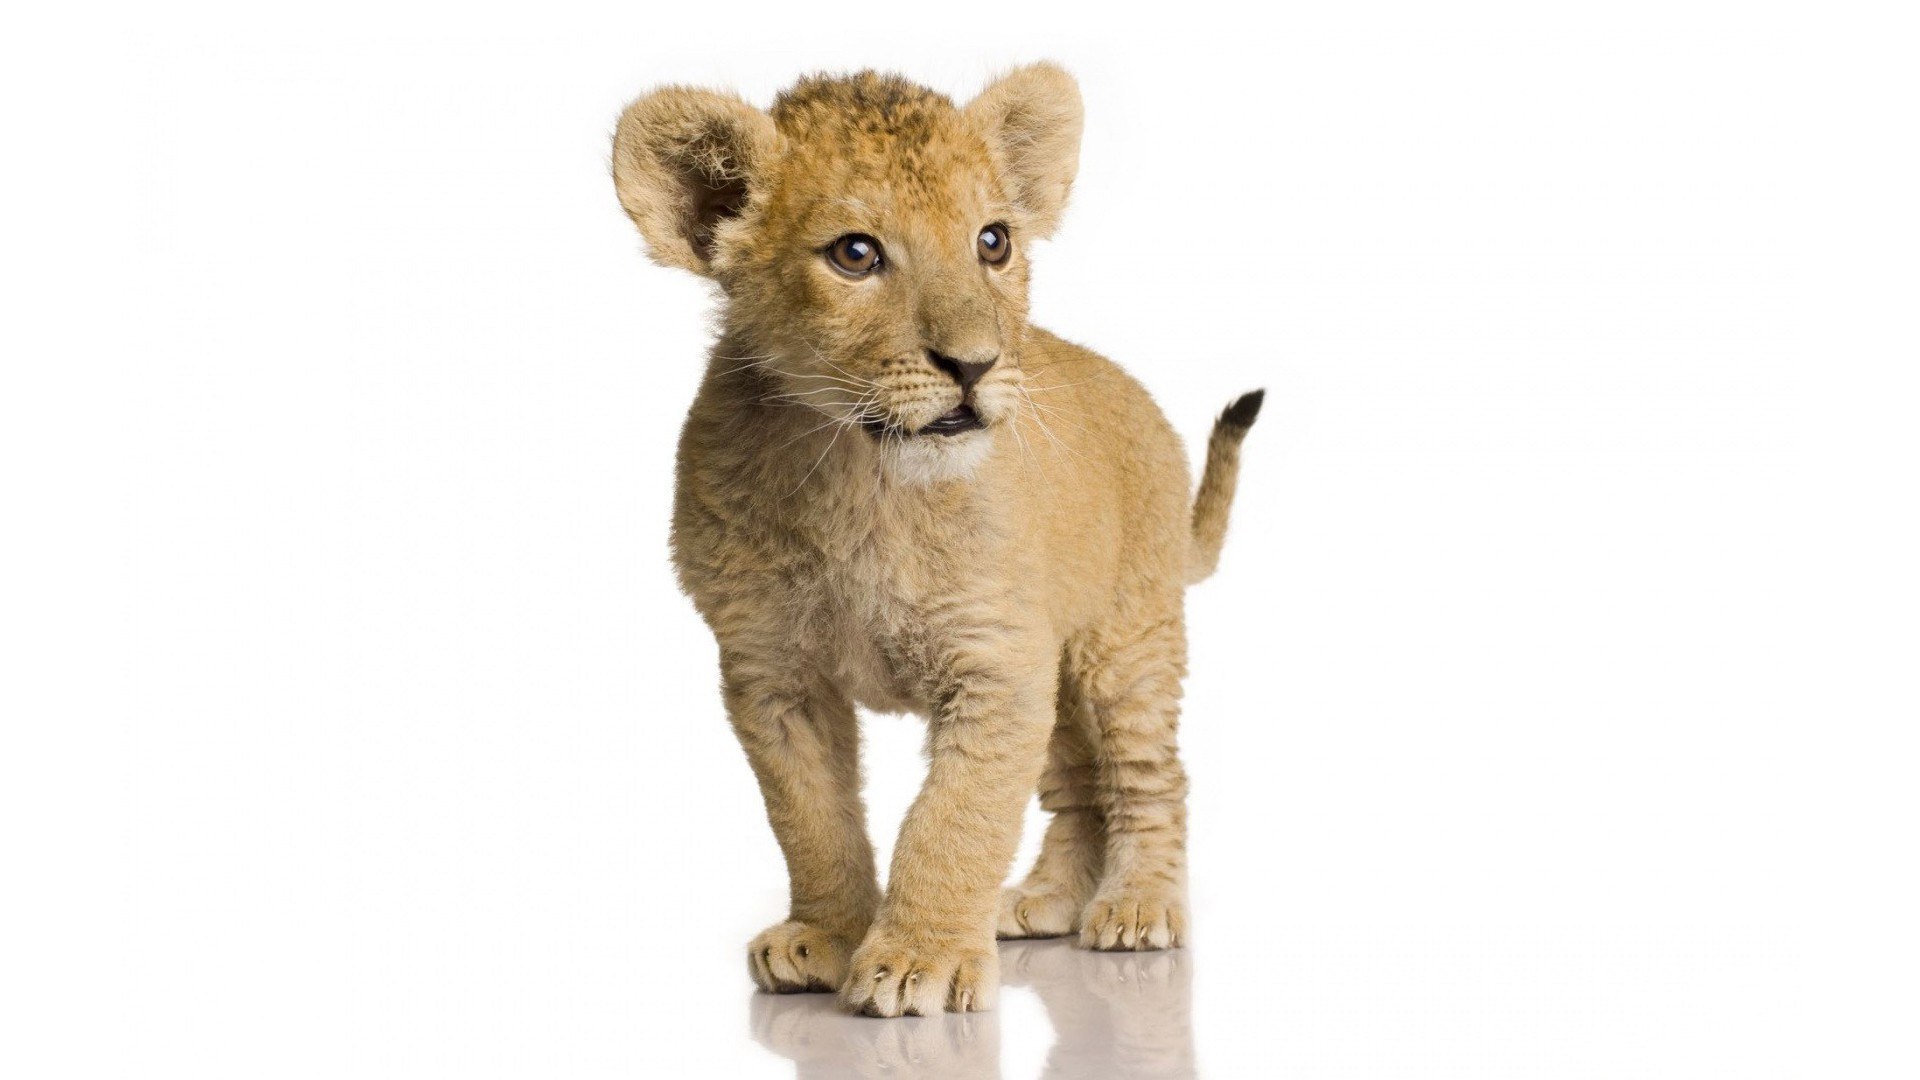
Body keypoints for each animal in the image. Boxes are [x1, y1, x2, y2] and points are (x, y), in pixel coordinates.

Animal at [611, 63, 1261, 1017]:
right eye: (856, 254)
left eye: (993, 241)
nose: (975, 365)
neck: (859, 476)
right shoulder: (770, 671)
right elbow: (811, 816)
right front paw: (827, 937)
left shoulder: (995, 661)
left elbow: (955, 816)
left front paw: (922, 958)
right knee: (1077, 788)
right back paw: (1044, 902)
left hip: (1123, 640)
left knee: (1147, 776)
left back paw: (1138, 906)